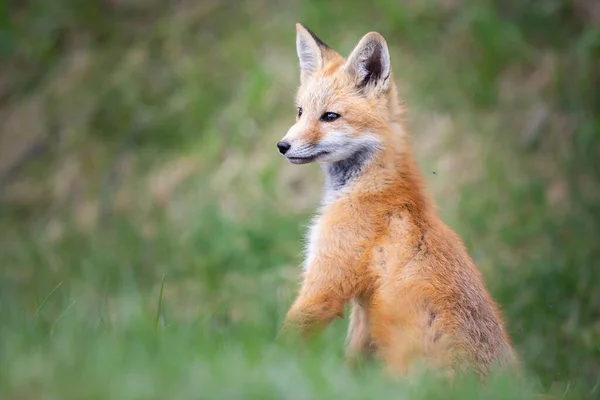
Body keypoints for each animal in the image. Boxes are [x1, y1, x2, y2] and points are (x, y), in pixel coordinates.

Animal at [276, 23, 516, 376]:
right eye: (300, 112)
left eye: (330, 116)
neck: (372, 189)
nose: (282, 146)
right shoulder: (363, 308)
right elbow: (352, 363)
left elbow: (286, 339)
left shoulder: (326, 282)